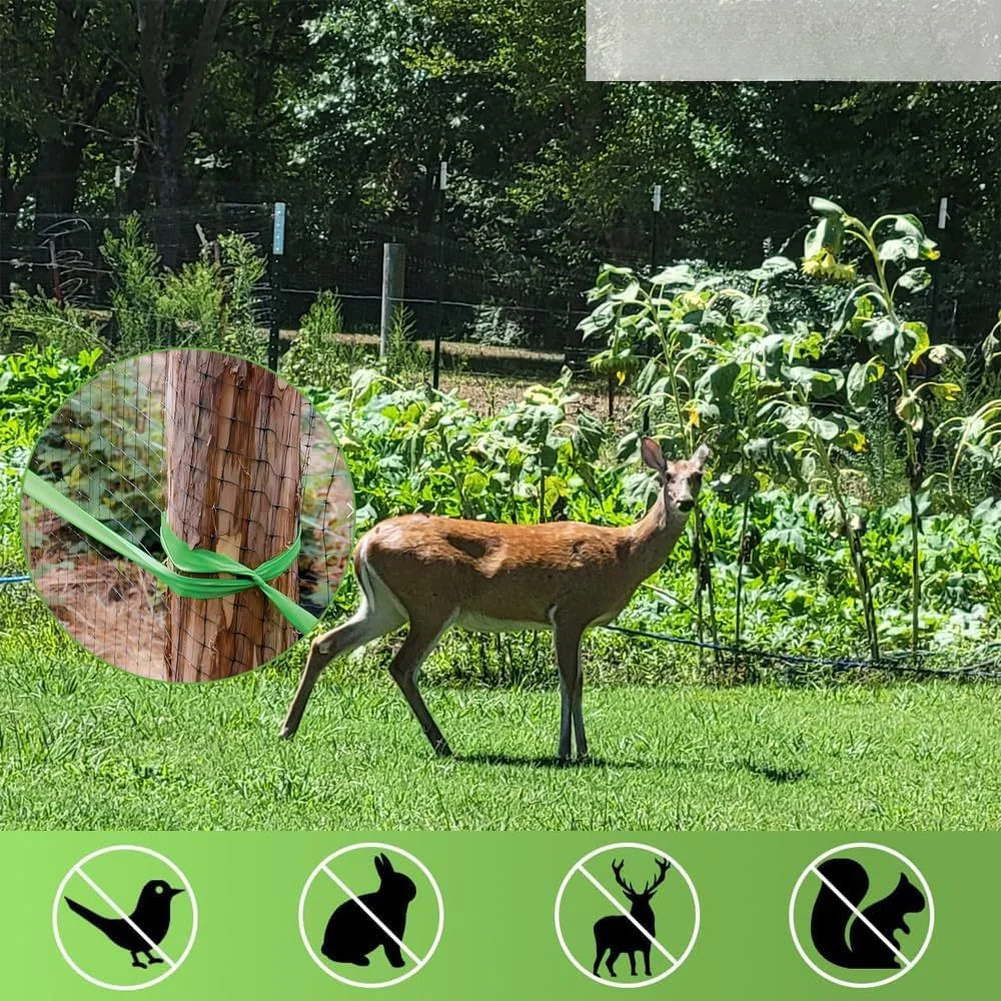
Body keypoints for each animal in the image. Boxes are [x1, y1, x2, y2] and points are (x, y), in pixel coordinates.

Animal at [280, 437, 709, 761]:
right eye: (667, 476)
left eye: (698, 476)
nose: (685, 502)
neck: (623, 555)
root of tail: (365, 542)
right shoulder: (569, 612)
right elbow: (569, 681)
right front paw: (566, 751)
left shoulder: (575, 621)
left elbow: (578, 681)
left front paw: (581, 750)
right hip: (431, 601)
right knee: (401, 665)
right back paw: (442, 743)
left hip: (384, 605)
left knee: (326, 643)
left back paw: (288, 728)